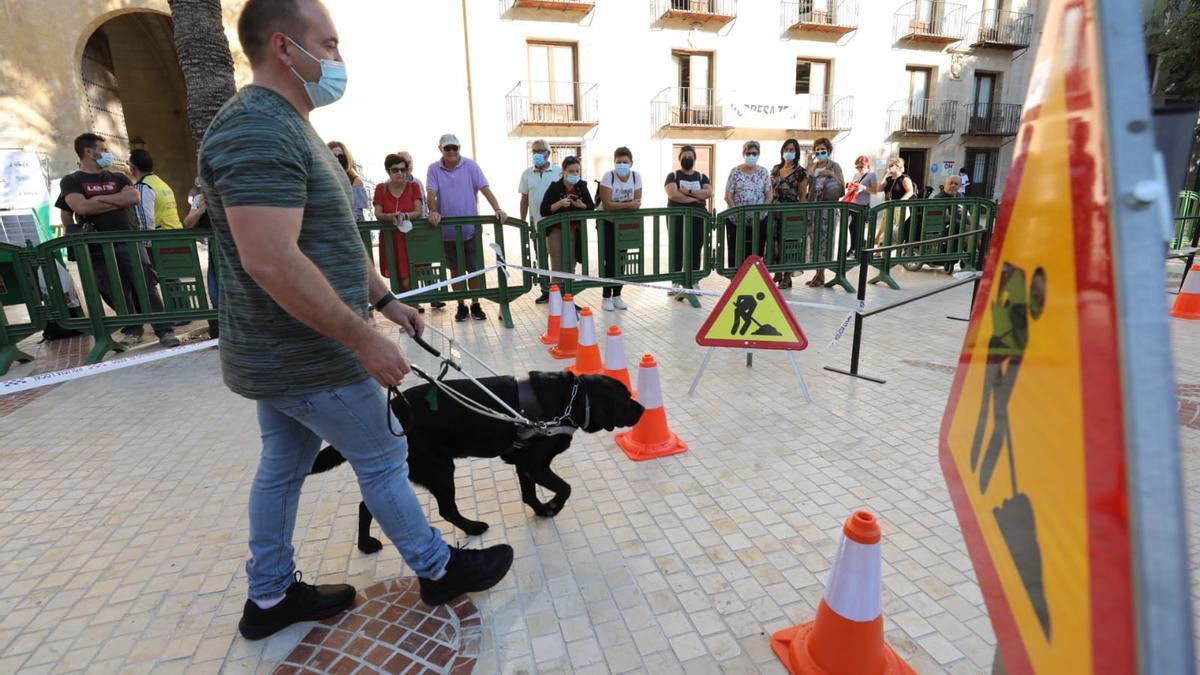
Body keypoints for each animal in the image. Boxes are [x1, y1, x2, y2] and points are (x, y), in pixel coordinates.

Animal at [312, 369, 648, 550]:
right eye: (625, 396)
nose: (644, 408)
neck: (570, 400)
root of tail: (393, 409)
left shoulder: (524, 465)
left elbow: (528, 494)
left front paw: (541, 509)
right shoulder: (535, 464)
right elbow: (565, 488)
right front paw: (552, 505)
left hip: (408, 468)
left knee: (366, 504)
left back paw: (366, 545)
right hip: (439, 468)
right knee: (446, 509)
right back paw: (472, 528)